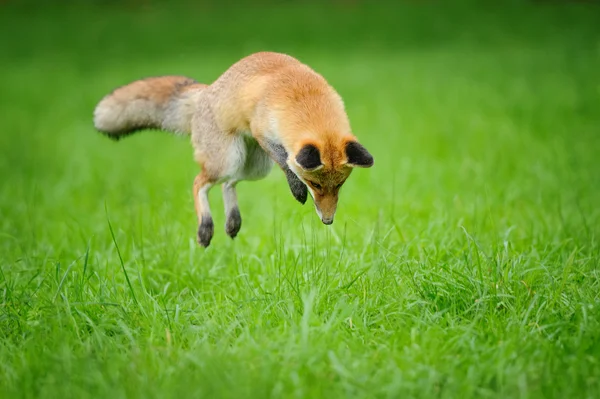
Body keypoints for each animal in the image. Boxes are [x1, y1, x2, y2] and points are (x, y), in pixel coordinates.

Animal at [94, 52, 372, 247]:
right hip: (228, 159)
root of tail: (206, 91)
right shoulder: (262, 132)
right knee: (199, 183)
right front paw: (296, 189)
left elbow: (286, 163)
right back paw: (205, 228)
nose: (328, 221)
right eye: (314, 184)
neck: (306, 100)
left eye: (339, 185)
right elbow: (286, 162)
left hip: (253, 167)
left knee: (228, 184)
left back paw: (232, 222)